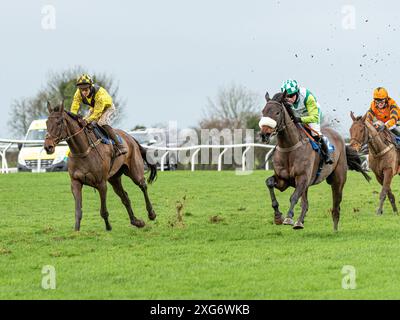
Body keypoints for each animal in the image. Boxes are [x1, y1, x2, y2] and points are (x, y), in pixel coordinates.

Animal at [43, 101, 156, 231]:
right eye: (46, 122)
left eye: (59, 122)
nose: (48, 147)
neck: (83, 151)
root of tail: (130, 137)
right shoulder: (76, 182)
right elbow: (78, 211)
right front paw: (76, 231)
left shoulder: (101, 183)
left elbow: (103, 211)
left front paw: (108, 227)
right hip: (114, 178)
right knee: (125, 197)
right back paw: (136, 221)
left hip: (134, 171)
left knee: (143, 186)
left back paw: (151, 214)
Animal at [260, 92, 370, 230]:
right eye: (263, 111)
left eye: (277, 112)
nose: (264, 134)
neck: (289, 148)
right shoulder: (283, 180)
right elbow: (269, 183)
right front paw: (278, 216)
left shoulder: (302, 178)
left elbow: (293, 197)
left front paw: (289, 217)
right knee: (305, 203)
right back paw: (299, 222)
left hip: (338, 180)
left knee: (336, 206)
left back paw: (334, 229)